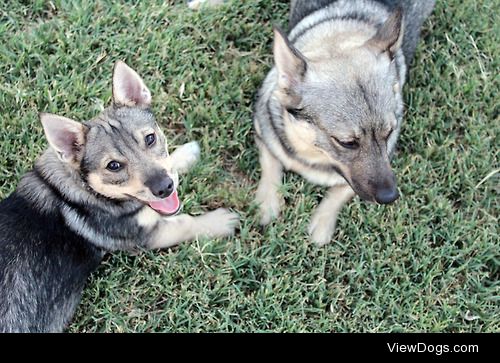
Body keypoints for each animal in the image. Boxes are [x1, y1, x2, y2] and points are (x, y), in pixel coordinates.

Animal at [0, 61, 239, 332]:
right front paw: (221, 221)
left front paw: (187, 154)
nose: (164, 188)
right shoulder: (146, 236)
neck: (84, 188)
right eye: (113, 166)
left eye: (150, 138)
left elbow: (172, 166)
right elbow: (186, 222)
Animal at [254, 0, 434, 245]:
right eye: (347, 142)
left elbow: (340, 192)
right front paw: (268, 203)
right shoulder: (262, 130)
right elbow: (271, 163)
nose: (390, 197)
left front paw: (322, 223)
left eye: (389, 133)